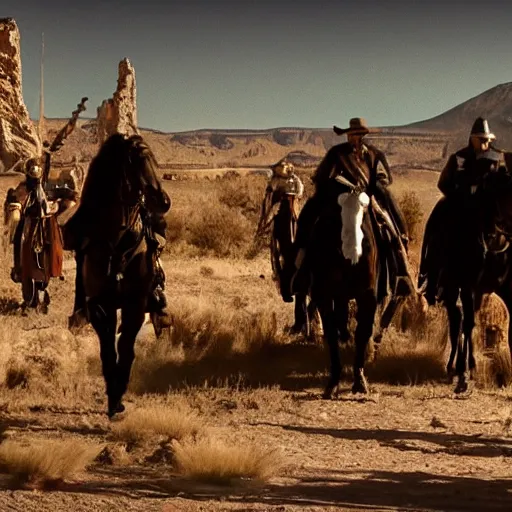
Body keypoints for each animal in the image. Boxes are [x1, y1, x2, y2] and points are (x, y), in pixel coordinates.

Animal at [62, 134, 169, 418]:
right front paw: (112, 397)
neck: (119, 242)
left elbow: (126, 347)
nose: (163, 201)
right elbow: (108, 350)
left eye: (153, 158)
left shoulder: (136, 304)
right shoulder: (101, 307)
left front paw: (119, 391)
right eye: (135, 161)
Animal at [308, 178, 380, 398]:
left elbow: (362, 332)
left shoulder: (368, 295)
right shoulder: (324, 295)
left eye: (365, 213)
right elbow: (331, 332)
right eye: (335, 216)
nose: (352, 253)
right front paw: (333, 383)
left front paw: (360, 381)